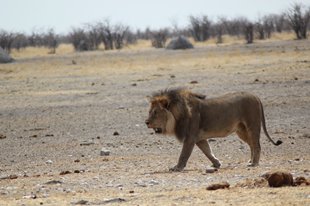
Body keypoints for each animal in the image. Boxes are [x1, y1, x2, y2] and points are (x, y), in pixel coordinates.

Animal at [145, 87, 280, 171]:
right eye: (150, 111)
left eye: (155, 112)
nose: (146, 122)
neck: (178, 114)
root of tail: (256, 96)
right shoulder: (199, 139)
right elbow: (208, 151)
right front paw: (217, 163)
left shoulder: (190, 138)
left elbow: (183, 154)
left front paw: (177, 168)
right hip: (241, 131)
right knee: (252, 144)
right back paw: (250, 161)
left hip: (252, 126)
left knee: (256, 145)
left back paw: (254, 163)